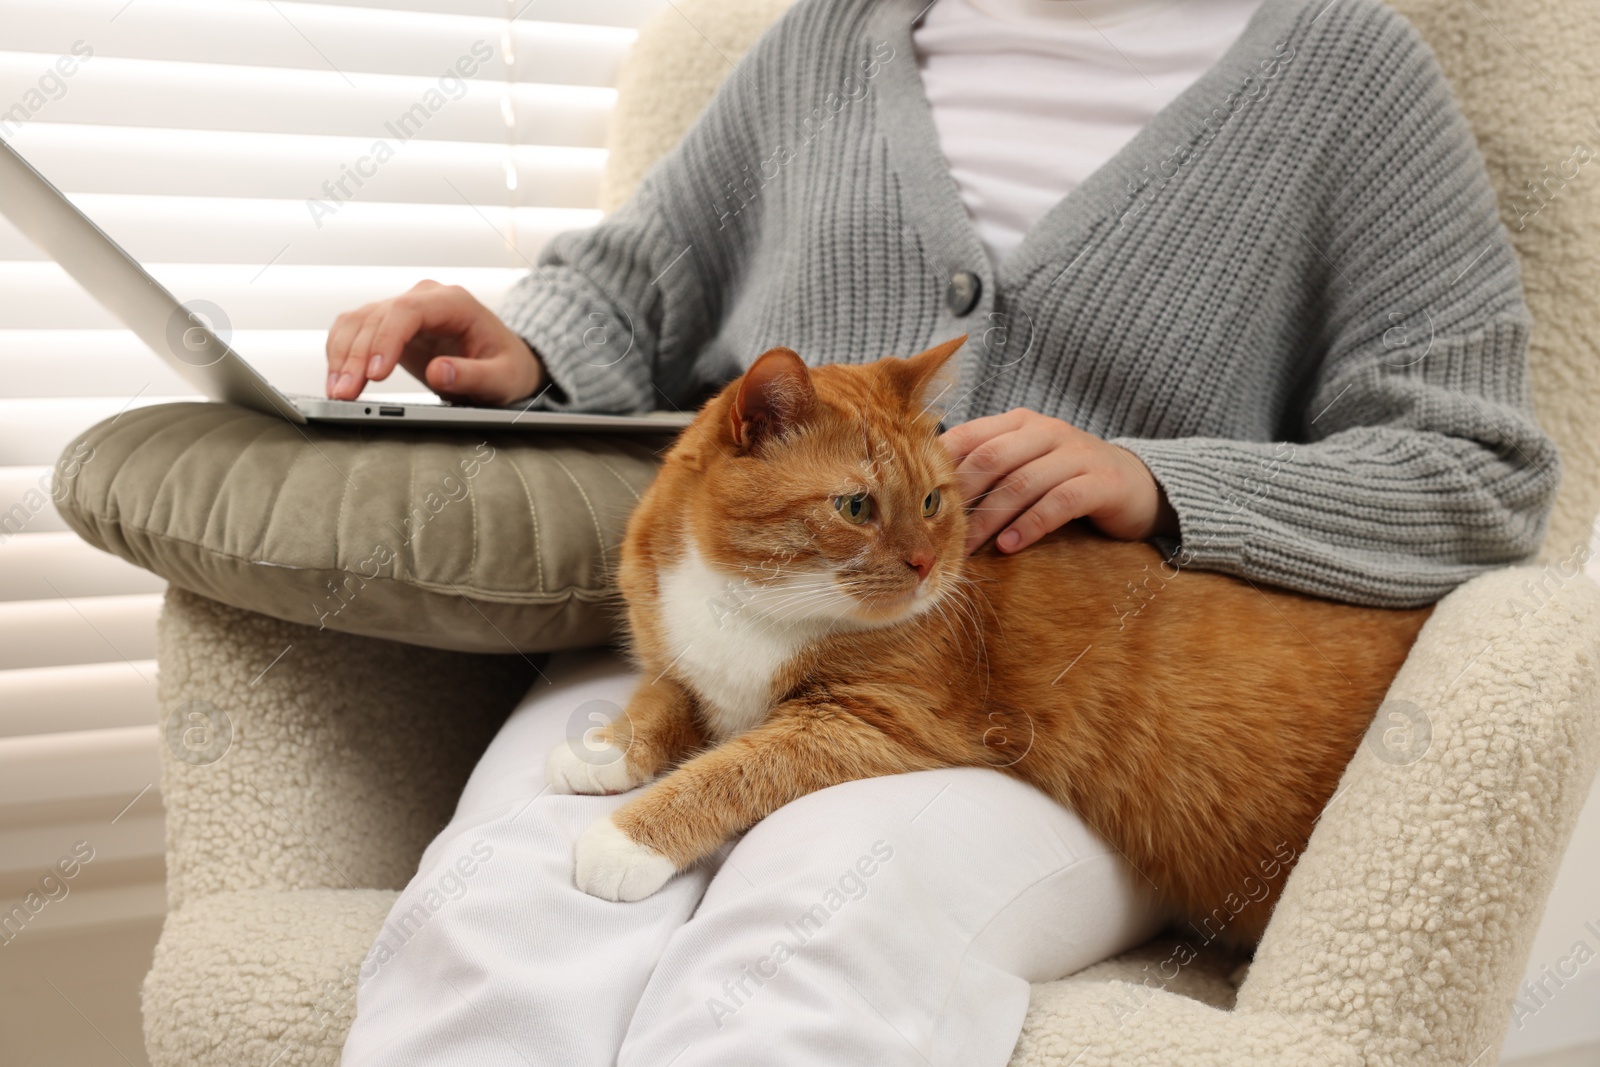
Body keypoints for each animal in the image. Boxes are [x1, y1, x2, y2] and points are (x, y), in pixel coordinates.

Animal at [544, 337, 1433, 947]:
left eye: (934, 499)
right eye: (856, 507)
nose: (927, 565)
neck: (749, 600)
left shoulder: (868, 720)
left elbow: (731, 767)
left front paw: (628, 838)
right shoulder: (683, 661)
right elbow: (661, 696)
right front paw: (603, 747)